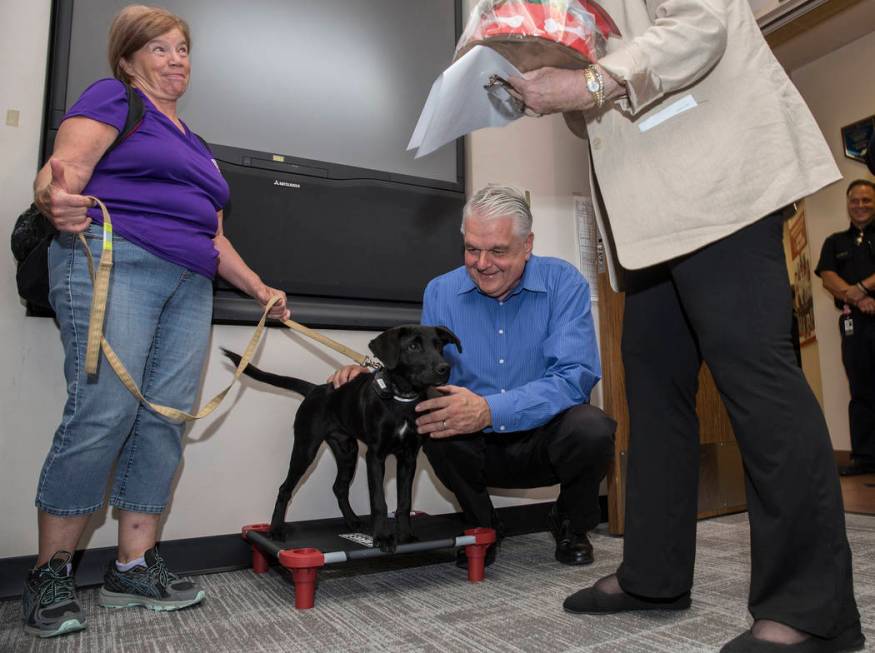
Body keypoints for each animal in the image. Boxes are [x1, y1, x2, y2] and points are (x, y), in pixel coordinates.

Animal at [222, 324, 462, 552]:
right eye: (413, 346)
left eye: (439, 346)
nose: (445, 368)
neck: (401, 399)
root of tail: (315, 390)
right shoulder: (376, 456)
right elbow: (379, 501)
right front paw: (383, 537)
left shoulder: (409, 458)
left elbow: (404, 501)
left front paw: (405, 535)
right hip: (305, 449)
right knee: (285, 488)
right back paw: (276, 529)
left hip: (347, 451)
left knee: (339, 487)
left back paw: (352, 521)